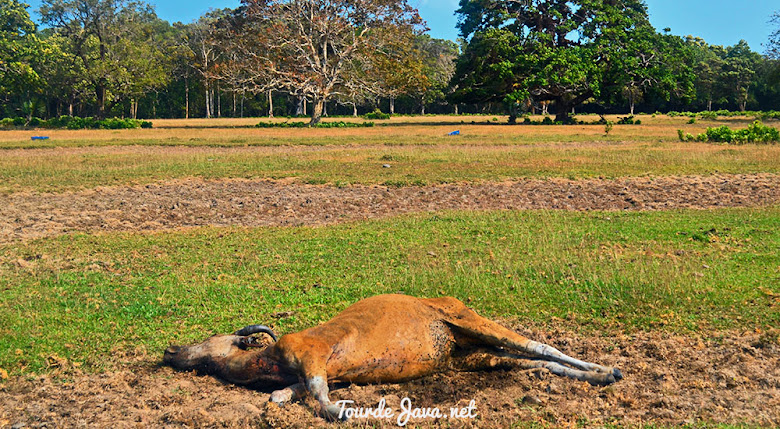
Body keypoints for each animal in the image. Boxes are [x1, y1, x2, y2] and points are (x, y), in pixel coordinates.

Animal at [163, 292, 620, 420]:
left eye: (207, 338)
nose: (169, 349)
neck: (268, 360)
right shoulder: (325, 372)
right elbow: (294, 391)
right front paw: (281, 397)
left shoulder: (311, 354)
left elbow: (317, 391)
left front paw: (339, 412)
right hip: (473, 356)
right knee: (532, 361)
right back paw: (597, 377)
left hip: (469, 319)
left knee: (541, 347)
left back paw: (607, 370)